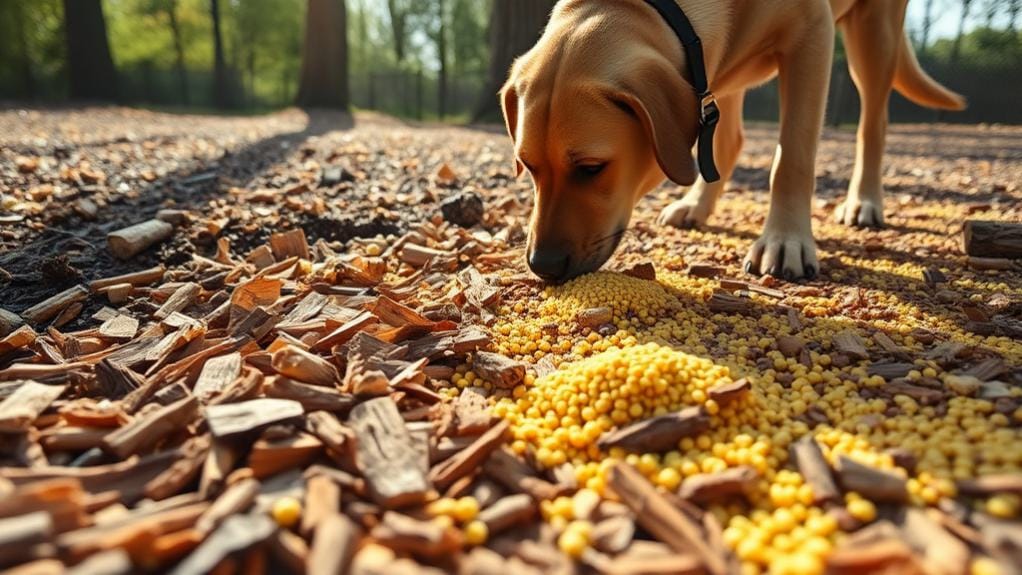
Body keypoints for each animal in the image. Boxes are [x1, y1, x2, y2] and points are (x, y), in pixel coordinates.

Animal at [502, 0, 964, 281]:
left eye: (591, 168)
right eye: (529, 167)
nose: (542, 265)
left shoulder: (812, 34)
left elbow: (793, 157)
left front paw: (786, 238)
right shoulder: (707, 67)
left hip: (874, 30)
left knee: (874, 124)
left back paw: (864, 200)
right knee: (729, 142)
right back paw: (696, 205)